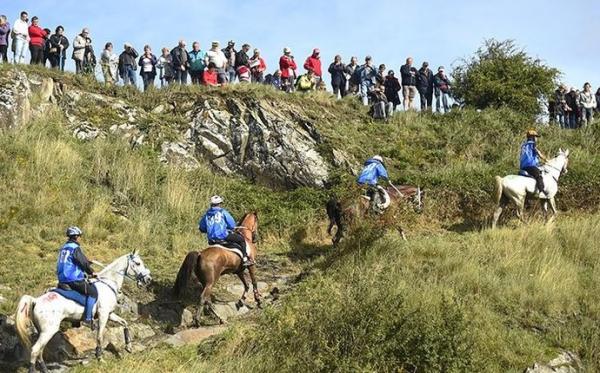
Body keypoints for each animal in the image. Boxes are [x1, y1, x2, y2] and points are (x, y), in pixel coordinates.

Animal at [15, 250, 152, 372]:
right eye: (138, 263)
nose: (148, 279)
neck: (108, 283)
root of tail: (36, 300)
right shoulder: (103, 315)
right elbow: (99, 336)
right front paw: (99, 357)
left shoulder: (110, 314)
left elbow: (125, 323)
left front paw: (128, 346)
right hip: (49, 331)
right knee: (35, 350)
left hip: (43, 331)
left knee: (40, 351)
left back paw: (44, 369)